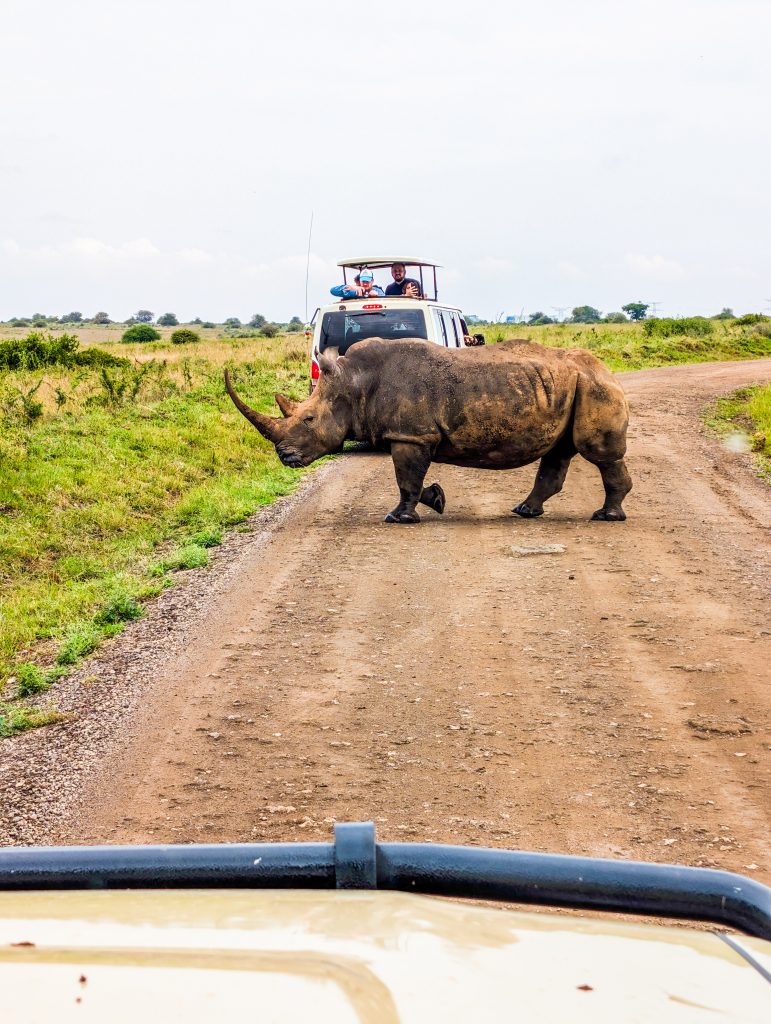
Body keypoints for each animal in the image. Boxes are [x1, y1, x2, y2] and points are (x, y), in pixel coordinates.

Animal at [224, 338, 632, 524]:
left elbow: (406, 479)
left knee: (597, 453)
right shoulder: (408, 434)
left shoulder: (411, 434)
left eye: (308, 420)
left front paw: (397, 519)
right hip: (571, 386)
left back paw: (606, 517)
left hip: (594, 386)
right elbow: (413, 480)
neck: (353, 382)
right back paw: (525, 511)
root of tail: (606, 368)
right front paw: (436, 499)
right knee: (559, 452)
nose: (284, 456)